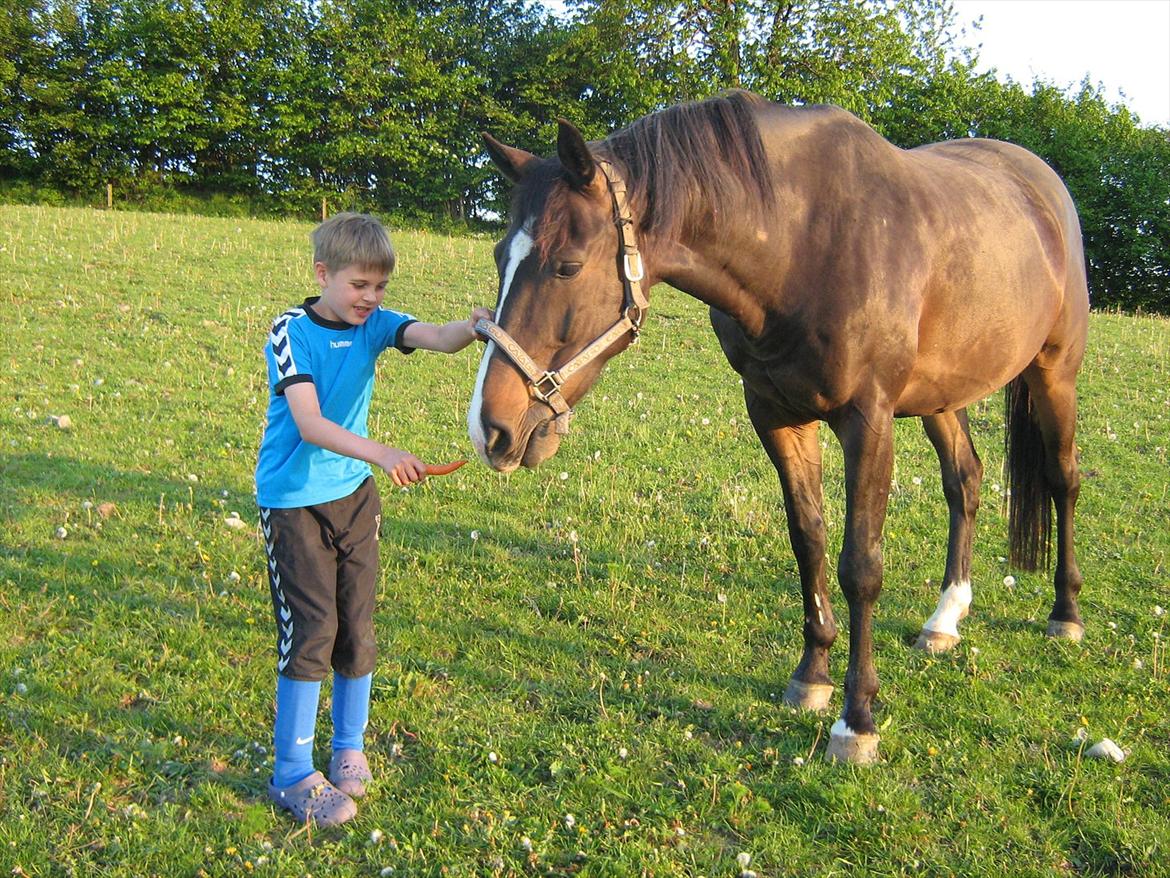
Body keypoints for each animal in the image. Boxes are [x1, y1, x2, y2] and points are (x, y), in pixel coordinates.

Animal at [463, 91, 1085, 763]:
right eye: (499, 257)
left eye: (567, 266)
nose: (491, 429)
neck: (802, 243)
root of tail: (1042, 184)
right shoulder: (776, 415)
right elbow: (809, 540)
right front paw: (812, 677)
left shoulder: (868, 421)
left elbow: (860, 566)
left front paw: (856, 720)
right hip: (943, 395)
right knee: (964, 483)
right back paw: (945, 618)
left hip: (1055, 374)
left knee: (1063, 481)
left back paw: (1065, 613)